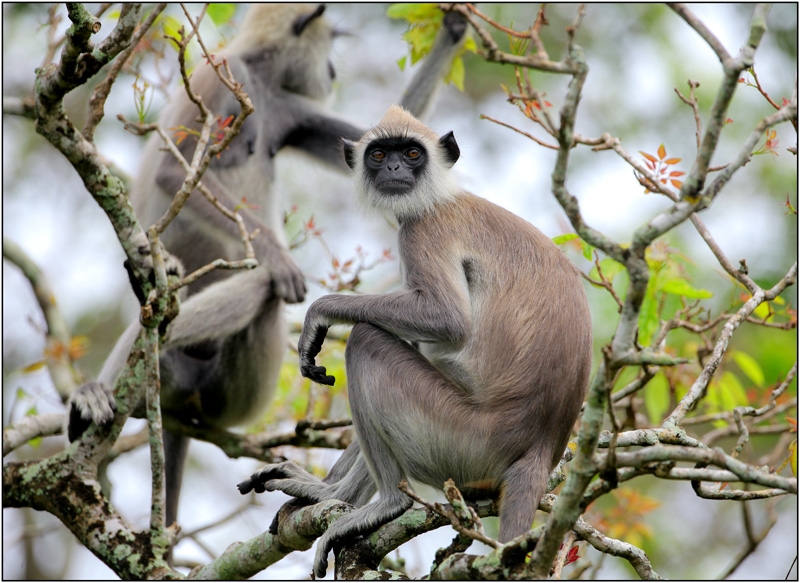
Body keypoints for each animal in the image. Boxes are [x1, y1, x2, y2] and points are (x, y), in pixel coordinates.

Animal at [69, 5, 468, 532]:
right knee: (262, 285)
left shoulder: (284, 106)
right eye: (329, 46)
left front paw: (454, 28)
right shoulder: (228, 76)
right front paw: (279, 257)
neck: (258, 73)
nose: (332, 72)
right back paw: (104, 385)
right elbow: (174, 173)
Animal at [238, 106, 592, 580]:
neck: (443, 198)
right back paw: (328, 493)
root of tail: (539, 446)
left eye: (411, 153)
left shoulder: (424, 229)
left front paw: (321, 312)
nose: (394, 169)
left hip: (463, 438)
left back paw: (385, 504)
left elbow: (447, 320)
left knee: (367, 341)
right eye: (379, 154)